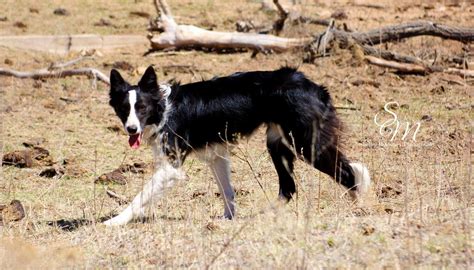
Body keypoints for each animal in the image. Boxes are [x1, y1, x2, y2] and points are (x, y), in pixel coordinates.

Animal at [103, 66, 370, 226]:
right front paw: (228, 219)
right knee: (289, 187)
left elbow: (140, 196)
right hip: (277, 144)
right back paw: (266, 215)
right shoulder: (216, 156)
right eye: (124, 109)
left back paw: (358, 209)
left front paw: (115, 221)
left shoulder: (171, 167)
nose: (131, 130)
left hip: (306, 144)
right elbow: (227, 192)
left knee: (349, 173)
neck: (164, 110)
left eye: (142, 108)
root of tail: (314, 86)